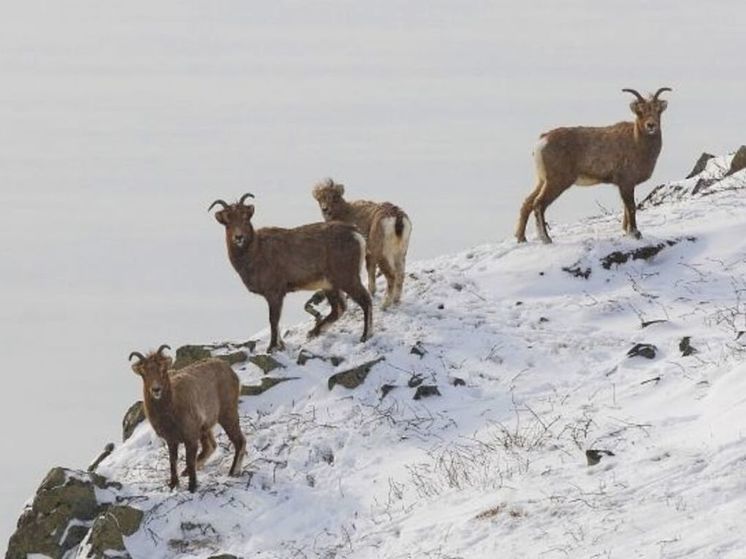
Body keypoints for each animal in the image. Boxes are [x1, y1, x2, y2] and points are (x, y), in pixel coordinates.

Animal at [128, 346, 244, 494]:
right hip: (205, 427)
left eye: (163, 369)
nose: (156, 389)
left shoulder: (191, 437)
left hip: (227, 414)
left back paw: (233, 471)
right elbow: (173, 461)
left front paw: (192, 487)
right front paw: (173, 485)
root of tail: (229, 370)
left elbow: (189, 460)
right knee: (211, 446)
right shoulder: (171, 440)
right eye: (144, 372)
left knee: (239, 441)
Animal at [209, 192, 372, 350]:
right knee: (339, 308)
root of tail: (357, 235)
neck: (255, 253)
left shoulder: (275, 292)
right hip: (330, 284)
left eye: (245, 217)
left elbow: (273, 319)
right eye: (228, 221)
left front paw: (272, 347)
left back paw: (365, 336)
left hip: (347, 277)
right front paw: (281, 345)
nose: (238, 237)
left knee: (365, 300)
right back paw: (313, 332)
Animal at [310, 179, 410, 308]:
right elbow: (370, 270)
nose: (325, 209)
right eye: (319, 198)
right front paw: (372, 292)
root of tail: (397, 219)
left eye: (334, 197)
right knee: (400, 274)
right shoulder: (369, 254)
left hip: (383, 254)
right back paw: (396, 300)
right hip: (400, 253)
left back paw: (385, 304)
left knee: (392, 275)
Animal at [516, 87, 672, 243]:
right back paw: (546, 239)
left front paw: (626, 231)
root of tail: (542, 141)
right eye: (640, 111)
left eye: (658, 110)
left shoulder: (626, 185)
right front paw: (635, 233)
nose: (651, 125)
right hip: (556, 182)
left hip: (543, 181)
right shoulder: (626, 182)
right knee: (539, 204)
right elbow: (631, 207)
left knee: (527, 203)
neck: (637, 143)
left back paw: (521, 238)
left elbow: (626, 208)